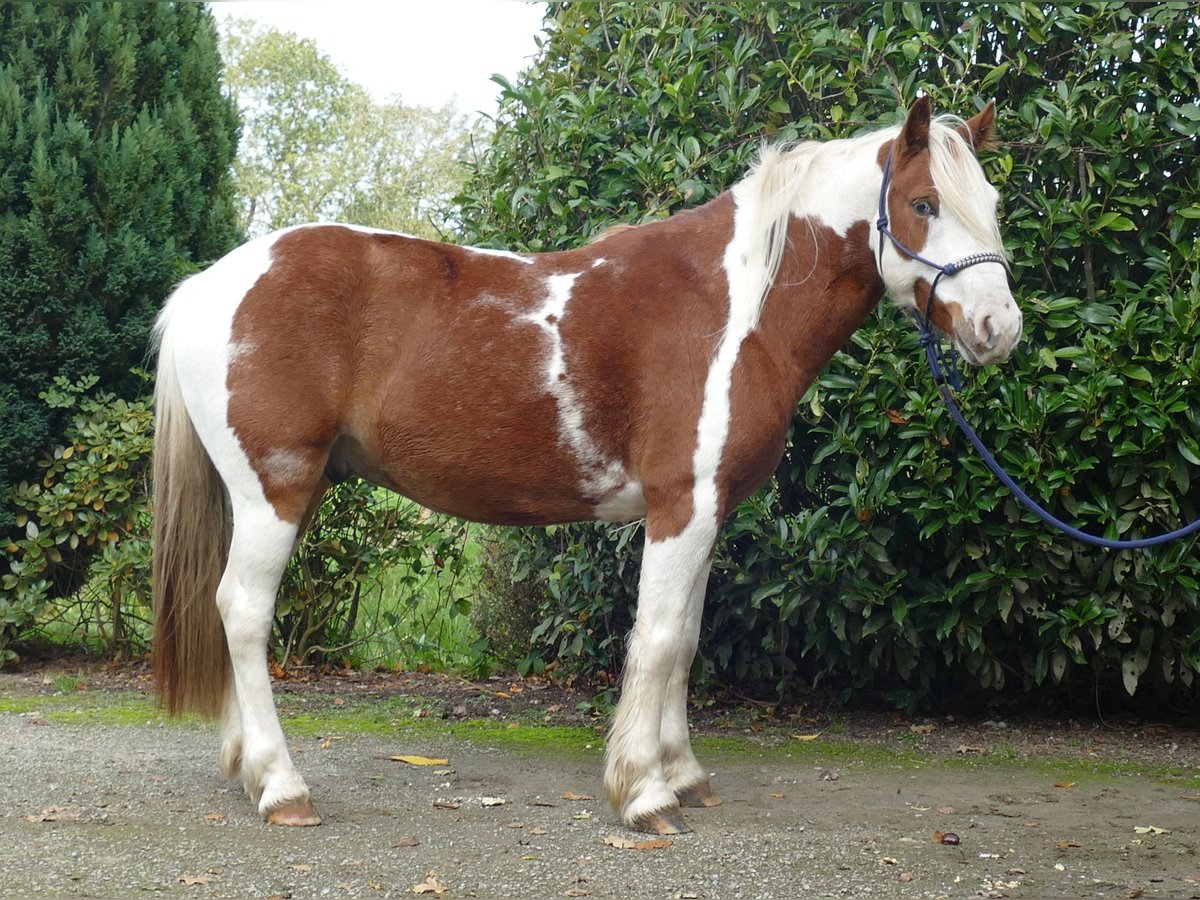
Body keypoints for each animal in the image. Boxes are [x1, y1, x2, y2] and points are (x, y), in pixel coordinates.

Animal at [152, 97, 1022, 830]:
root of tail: (208, 285)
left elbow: (688, 639)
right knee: (243, 612)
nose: (999, 328)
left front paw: (683, 774)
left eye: (992, 202)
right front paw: (644, 795)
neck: (736, 309)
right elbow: (660, 638)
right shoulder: (681, 504)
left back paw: (247, 769)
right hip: (275, 490)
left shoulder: (707, 511)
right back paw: (282, 787)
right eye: (923, 204)